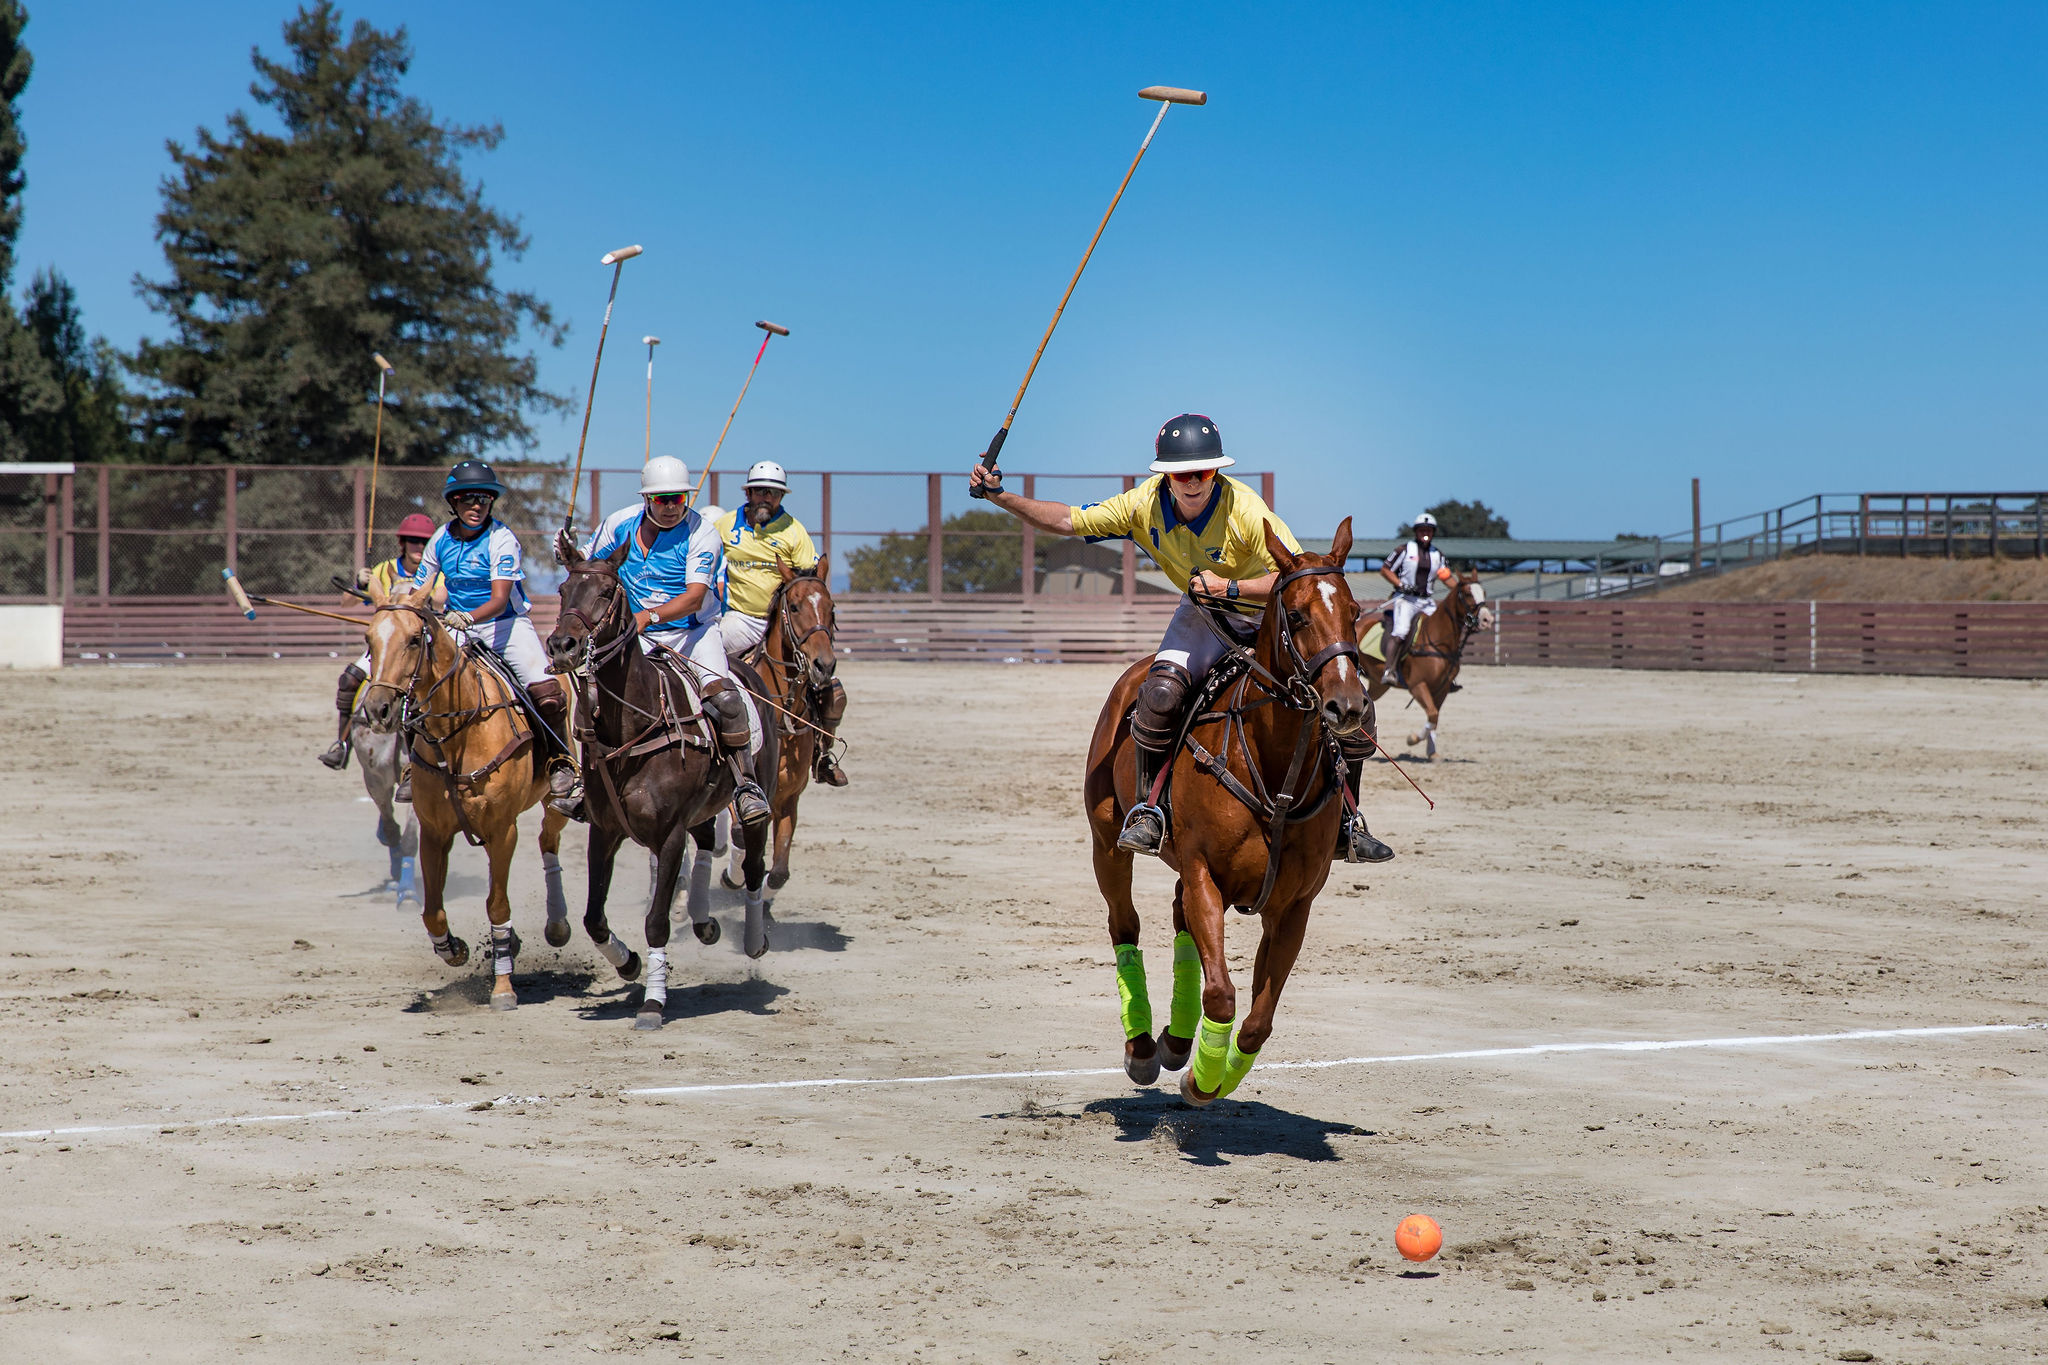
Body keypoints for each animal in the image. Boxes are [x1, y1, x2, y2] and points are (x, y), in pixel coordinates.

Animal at [358, 589, 569, 1015]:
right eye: (369, 640)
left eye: (413, 640)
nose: (378, 710)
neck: (458, 730)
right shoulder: (435, 832)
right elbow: (432, 911)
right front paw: (454, 950)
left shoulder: (503, 830)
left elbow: (498, 905)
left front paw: (503, 988)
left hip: (556, 798)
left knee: (548, 839)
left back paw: (557, 925)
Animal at [548, 540, 778, 1031]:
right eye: (562, 589)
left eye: (607, 591)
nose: (562, 645)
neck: (634, 725)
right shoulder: (605, 831)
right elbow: (593, 917)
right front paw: (628, 963)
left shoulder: (669, 834)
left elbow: (656, 921)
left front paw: (653, 1003)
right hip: (703, 808)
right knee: (708, 840)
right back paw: (705, 923)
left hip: (757, 798)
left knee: (752, 867)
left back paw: (753, 941)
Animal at [1081, 517, 1368, 1105]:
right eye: (1297, 615)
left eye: (1354, 611)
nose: (1348, 706)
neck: (1276, 776)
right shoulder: (1204, 873)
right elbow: (1221, 995)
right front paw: (1200, 1079)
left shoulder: (1295, 905)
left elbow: (1258, 1020)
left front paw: (1210, 1075)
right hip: (1107, 843)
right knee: (1125, 922)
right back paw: (1143, 1047)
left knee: (1177, 917)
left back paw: (1174, 1041)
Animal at [1368, 564, 1499, 757]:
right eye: (1467, 593)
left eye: (1483, 592)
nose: (1486, 620)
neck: (1439, 641)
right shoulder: (1418, 685)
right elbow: (1432, 714)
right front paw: (1413, 739)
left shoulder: (1441, 688)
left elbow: (1435, 718)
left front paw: (1432, 752)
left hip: (1378, 684)